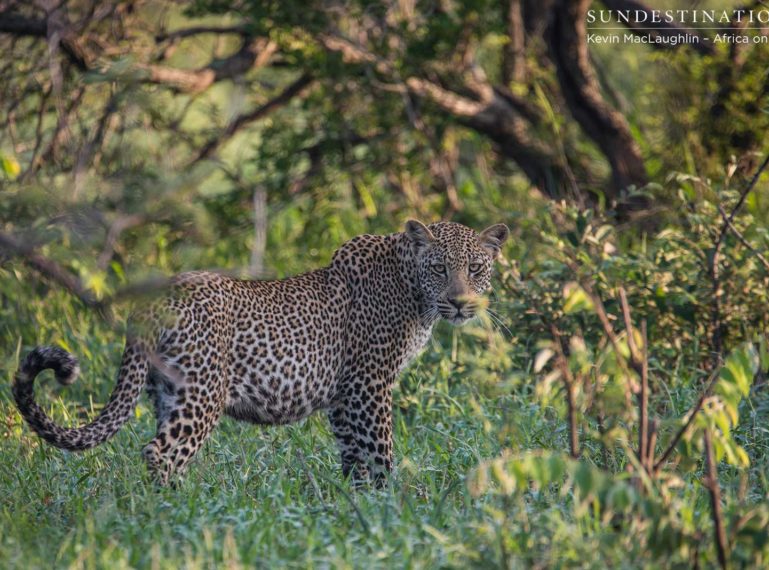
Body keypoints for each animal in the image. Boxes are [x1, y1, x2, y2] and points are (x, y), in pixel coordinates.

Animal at [13, 220, 510, 482]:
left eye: (476, 268)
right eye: (440, 268)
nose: (461, 302)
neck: (414, 293)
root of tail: (154, 299)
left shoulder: (344, 395)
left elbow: (353, 455)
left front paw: (356, 506)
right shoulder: (369, 385)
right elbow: (380, 451)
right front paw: (393, 507)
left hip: (167, 391)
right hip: (202, 392)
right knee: (161, 452)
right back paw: (177, 517)